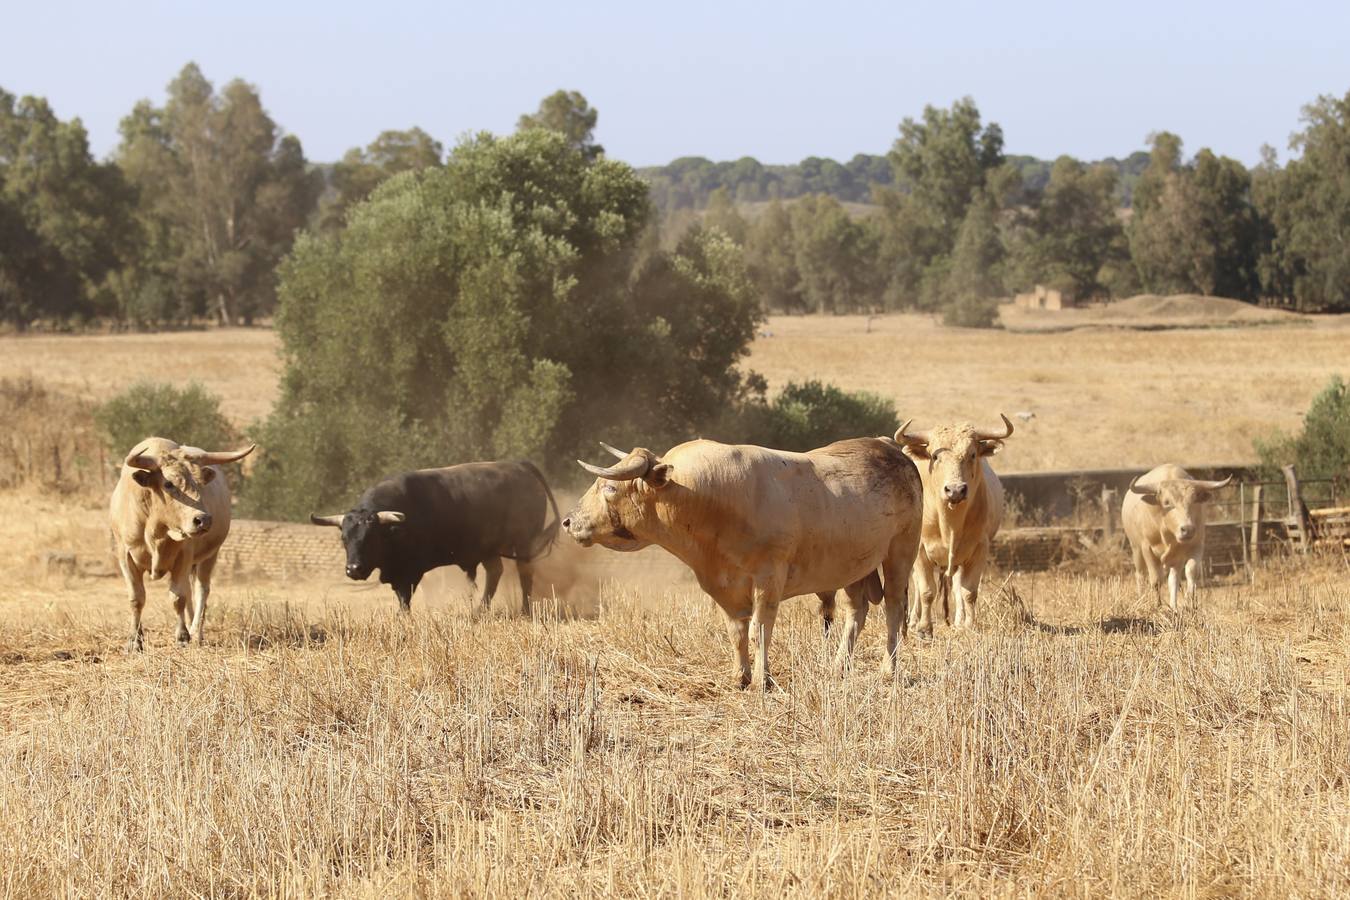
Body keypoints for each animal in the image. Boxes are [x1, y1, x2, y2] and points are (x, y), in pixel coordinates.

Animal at [310, 464, 558, 612]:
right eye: (344, 538)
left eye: (371, 538)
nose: (353, 569)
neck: (394, 531)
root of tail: (519, 466)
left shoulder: (410, 571)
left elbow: (405, 598)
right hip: (489, 549)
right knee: (495, 573)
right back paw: (480, 611)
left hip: (524, 542)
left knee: (525, 573)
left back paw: (525, 609)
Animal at [561, 437, 928, 690]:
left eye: (609, 488)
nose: (568, 521)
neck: (711, 500)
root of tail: (890, 447)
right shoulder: (725, 586)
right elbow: (737, 631)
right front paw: (741, 676)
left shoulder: (769, 578)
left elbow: (759, 629)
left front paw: (763, 680)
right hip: (854, 566)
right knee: (857, 611)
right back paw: (840, 666)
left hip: (900, 553)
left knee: (893, 608)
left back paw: (889, 669)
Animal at [896, 412, 1015, 634]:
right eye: (935, 456)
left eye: (972, 454)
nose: (955, 490)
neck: (949, 524)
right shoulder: (920, 550)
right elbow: (926, 591)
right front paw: (924, 628)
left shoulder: (979, 549)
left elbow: (968, 591)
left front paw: (968, 626)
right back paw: (914, 620)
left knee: (958, 586)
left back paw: (959, 620)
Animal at [1117, 464, 1236, 612]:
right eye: (1167, 502)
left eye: (1194, 501)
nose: (1188, 529)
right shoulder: (1147, 548)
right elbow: (1155, 579)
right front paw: (1157, 605)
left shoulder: (1196, 546)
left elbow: (1189, 573)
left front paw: (1189, 602)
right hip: (1136, 549)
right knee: (1140, 575)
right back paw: (1141, 599)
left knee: (1173, 578)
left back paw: (1173, 606)